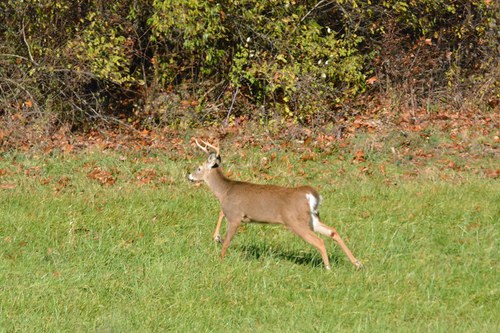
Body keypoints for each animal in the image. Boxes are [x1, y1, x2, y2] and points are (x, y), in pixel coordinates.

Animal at [188, 139, 364, 268]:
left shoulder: (235, 215)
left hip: (295, 221)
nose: (189, 176)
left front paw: (219, 257)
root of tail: (312, 195)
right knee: (332, 231)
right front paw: (216, 237)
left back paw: (327, 267)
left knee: (319, 241)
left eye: (198, 168)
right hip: (313, 218)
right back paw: (357, 263)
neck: (224, 191)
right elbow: (220, 214)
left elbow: (226, 239)